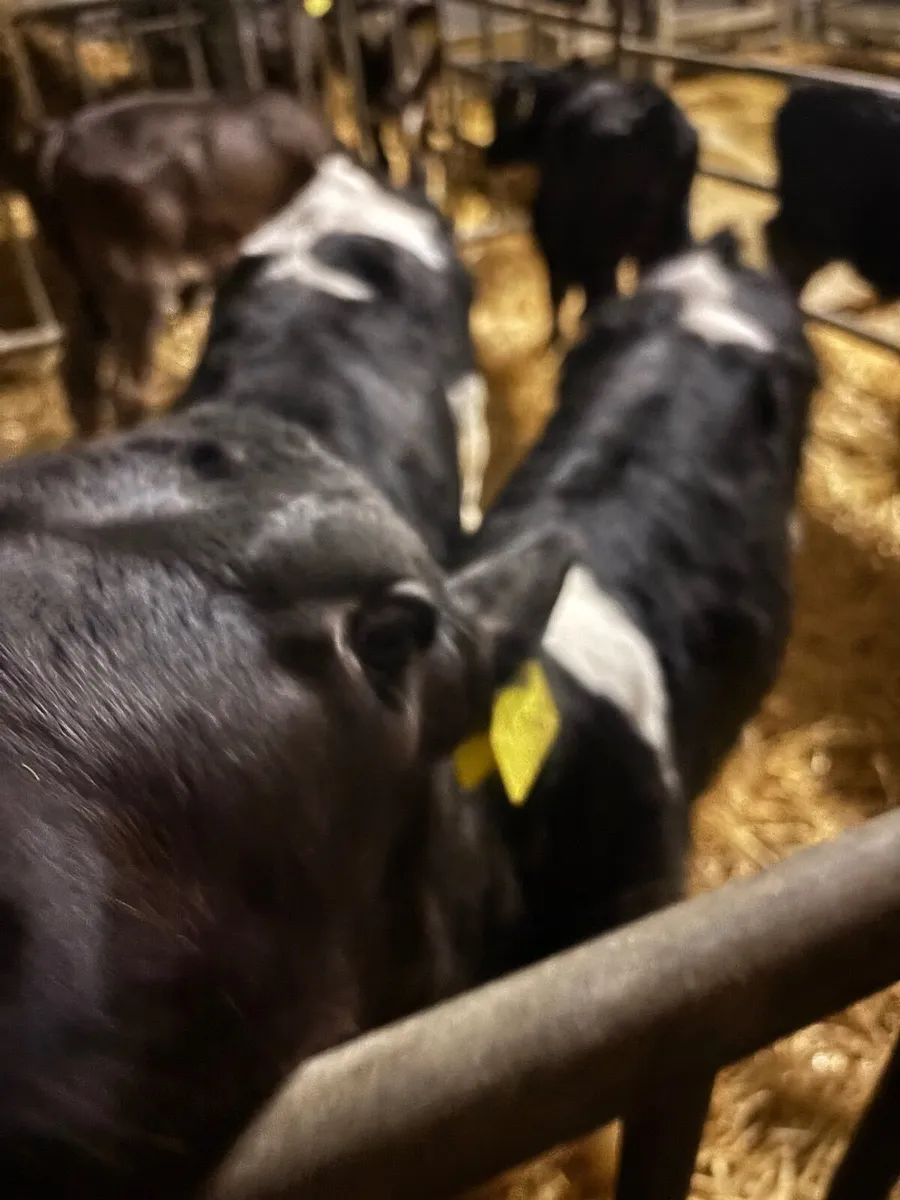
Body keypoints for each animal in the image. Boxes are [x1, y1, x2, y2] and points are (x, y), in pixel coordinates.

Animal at [485, 58, 699, 343]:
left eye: (503, 116)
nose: (488, 155)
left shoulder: (553, 233)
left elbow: (558, 289)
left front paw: (554, 338)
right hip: (672, 234)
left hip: (605, 245)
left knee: (600, 296)